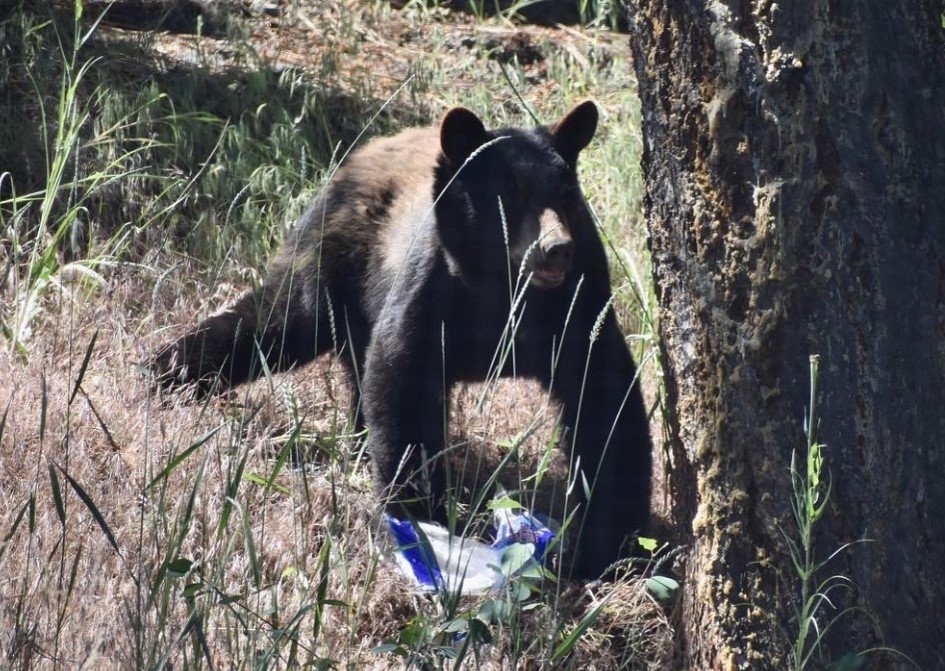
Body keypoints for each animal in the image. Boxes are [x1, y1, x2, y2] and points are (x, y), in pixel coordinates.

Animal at [151, 101, 652, 579]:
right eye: (511, 191)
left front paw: (611, 546)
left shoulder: (580, 302)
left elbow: (605, 401)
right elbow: (402, 382)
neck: (502, 288)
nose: (556, 249)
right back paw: (165, 373)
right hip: (331, 256)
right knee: (279, 320)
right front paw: (418, 519)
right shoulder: (432, 289)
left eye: (566, 192)